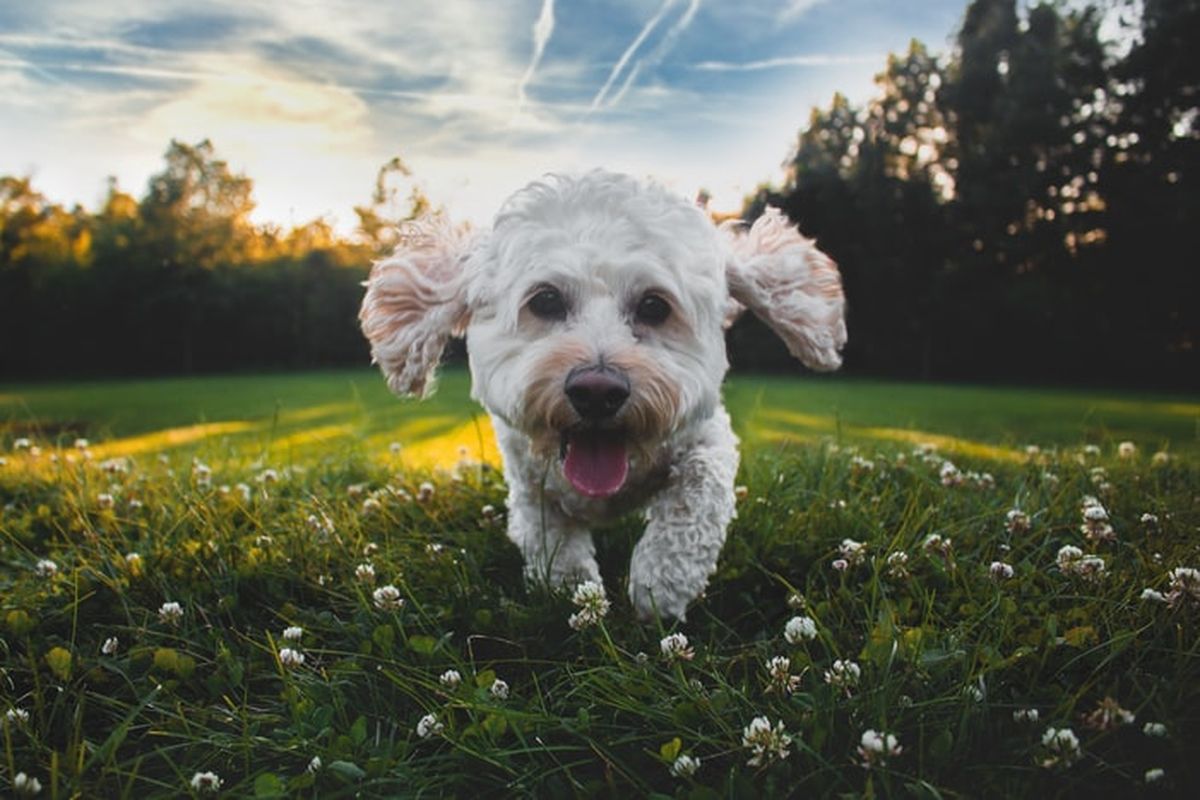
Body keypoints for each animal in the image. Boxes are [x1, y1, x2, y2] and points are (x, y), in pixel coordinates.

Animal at [360, 169, 849, 618]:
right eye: (545, 300)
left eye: (654, 306)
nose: (597, 391)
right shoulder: (529, 483)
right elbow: (553, 543)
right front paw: (576, 595)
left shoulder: (707, 438)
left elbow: (695, 497)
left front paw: (658, 584)